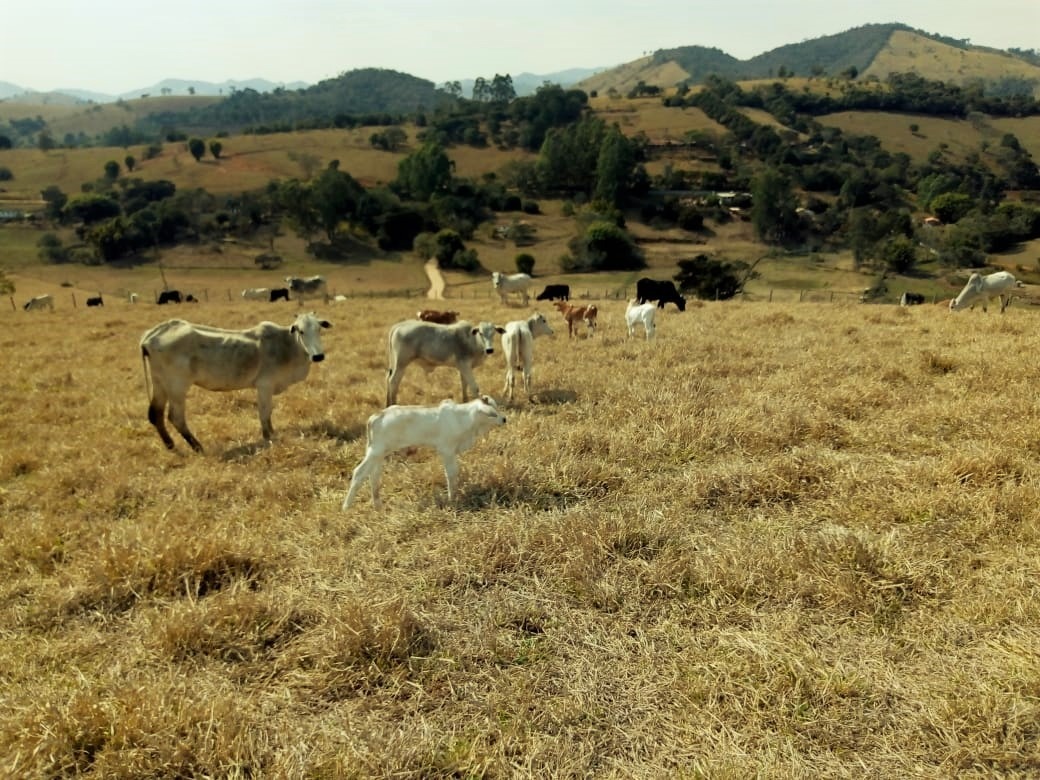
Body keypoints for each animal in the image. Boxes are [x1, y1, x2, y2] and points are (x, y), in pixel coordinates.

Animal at [140, 307, 330, 449]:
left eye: (319, 329)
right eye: (301, 331)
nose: (318, 356)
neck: (287, 345)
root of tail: (151, 335)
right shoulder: (265, 385)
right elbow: (265, 413)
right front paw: (269, 437)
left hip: (160, 383)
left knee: (155, 413)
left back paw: (170, 445)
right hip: (177, 386)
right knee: (176, 417)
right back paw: (198, 447)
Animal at [341, 397, 507, 513]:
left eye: (497, 408)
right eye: (492, 414)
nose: (504, 419)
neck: (464, 418)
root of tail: (376, 416)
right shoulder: (447, 450)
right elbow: (451, 474)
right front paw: (452, 499)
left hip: (379, 453)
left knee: (373, 476)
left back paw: (378, 507)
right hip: (376, 451)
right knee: (359, 473)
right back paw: (346, 508)